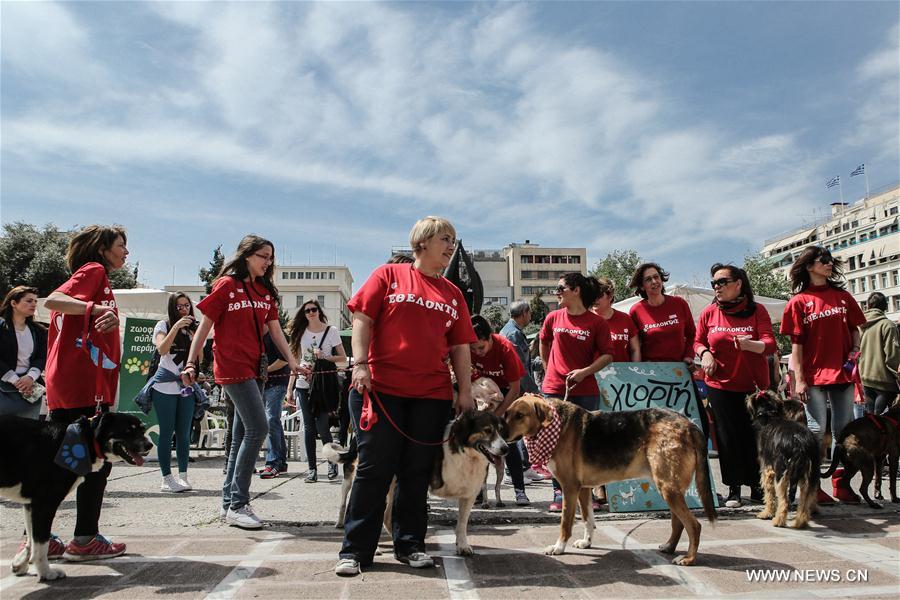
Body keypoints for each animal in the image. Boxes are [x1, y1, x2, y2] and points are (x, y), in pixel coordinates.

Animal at [0, 414, 153, 580]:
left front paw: (23, 563)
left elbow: (31, 539)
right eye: (128, 431)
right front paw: (46, 572)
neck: (86, 439)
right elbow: (41, 544)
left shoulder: (31, 503)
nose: (150, 445)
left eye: (142, 429)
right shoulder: (45, 503)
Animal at [326, 410, 510, 556]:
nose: (506, 449)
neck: (465, 451)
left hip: (393, 486)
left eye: (501, 431)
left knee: (386, 516)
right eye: (487, 431)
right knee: (353, 506)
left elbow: (462, 524)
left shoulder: (469, 494)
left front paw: (462, 546)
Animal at [502, 394, 712, 568]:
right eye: (507, 414)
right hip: (669, 488)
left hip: (668, 489)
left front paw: (559, 547)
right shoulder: (583, 489)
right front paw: (586, 542)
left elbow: (565, 522)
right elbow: (588, 519)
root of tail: (689, 425)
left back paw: (689, 559)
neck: (556, 427)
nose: (501, 436)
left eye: (520, 415)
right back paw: (669, 547)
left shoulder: (570, 488)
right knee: (679, 523)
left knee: (694, 525)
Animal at [748, 392, 820, 528]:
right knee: (805, 500)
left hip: (781, 473)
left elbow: (769, 494)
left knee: (785, 501)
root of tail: (799, 441)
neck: (769, 415)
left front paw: (767, 513)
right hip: (810, 474)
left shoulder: (767, 470)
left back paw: (778, 521)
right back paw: (800, 522)